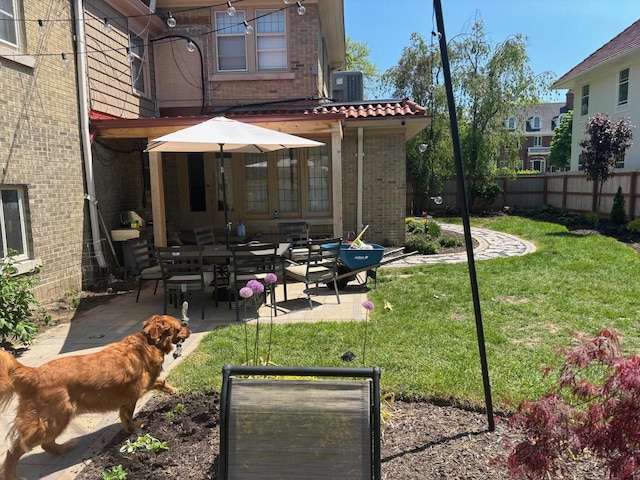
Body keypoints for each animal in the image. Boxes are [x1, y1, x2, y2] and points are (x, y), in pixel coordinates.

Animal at [0, 316, 191, 480]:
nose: (189, 331)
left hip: (54, 419)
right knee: (14, 450)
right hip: (53, 419)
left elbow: (162, 382)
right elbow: (128, 417)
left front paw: (176, 391)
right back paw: (11, 475)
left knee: (46, 444)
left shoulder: (147, 383)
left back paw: (63, 448)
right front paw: (135, 427)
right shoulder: (131, 396)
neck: (148, 342)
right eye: (179, 327)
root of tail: (33, 373)